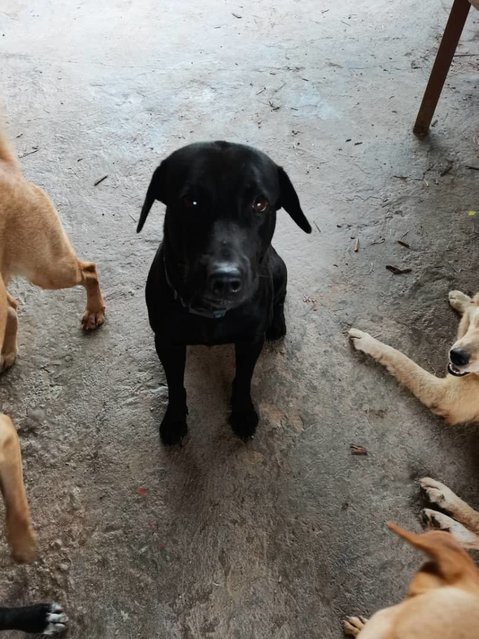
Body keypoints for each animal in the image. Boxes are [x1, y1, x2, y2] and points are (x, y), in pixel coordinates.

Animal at [137, 142, 314, 448]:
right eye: (191, 202)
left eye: (260, 204)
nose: (225, 279)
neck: (211, 314)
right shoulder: (167, 342)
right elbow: (175, 384)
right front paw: (175, 418)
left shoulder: (250, 340)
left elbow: (243, 379)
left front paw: (242, 411)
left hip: (278, 268)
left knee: (280, 298)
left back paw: (276, 323)